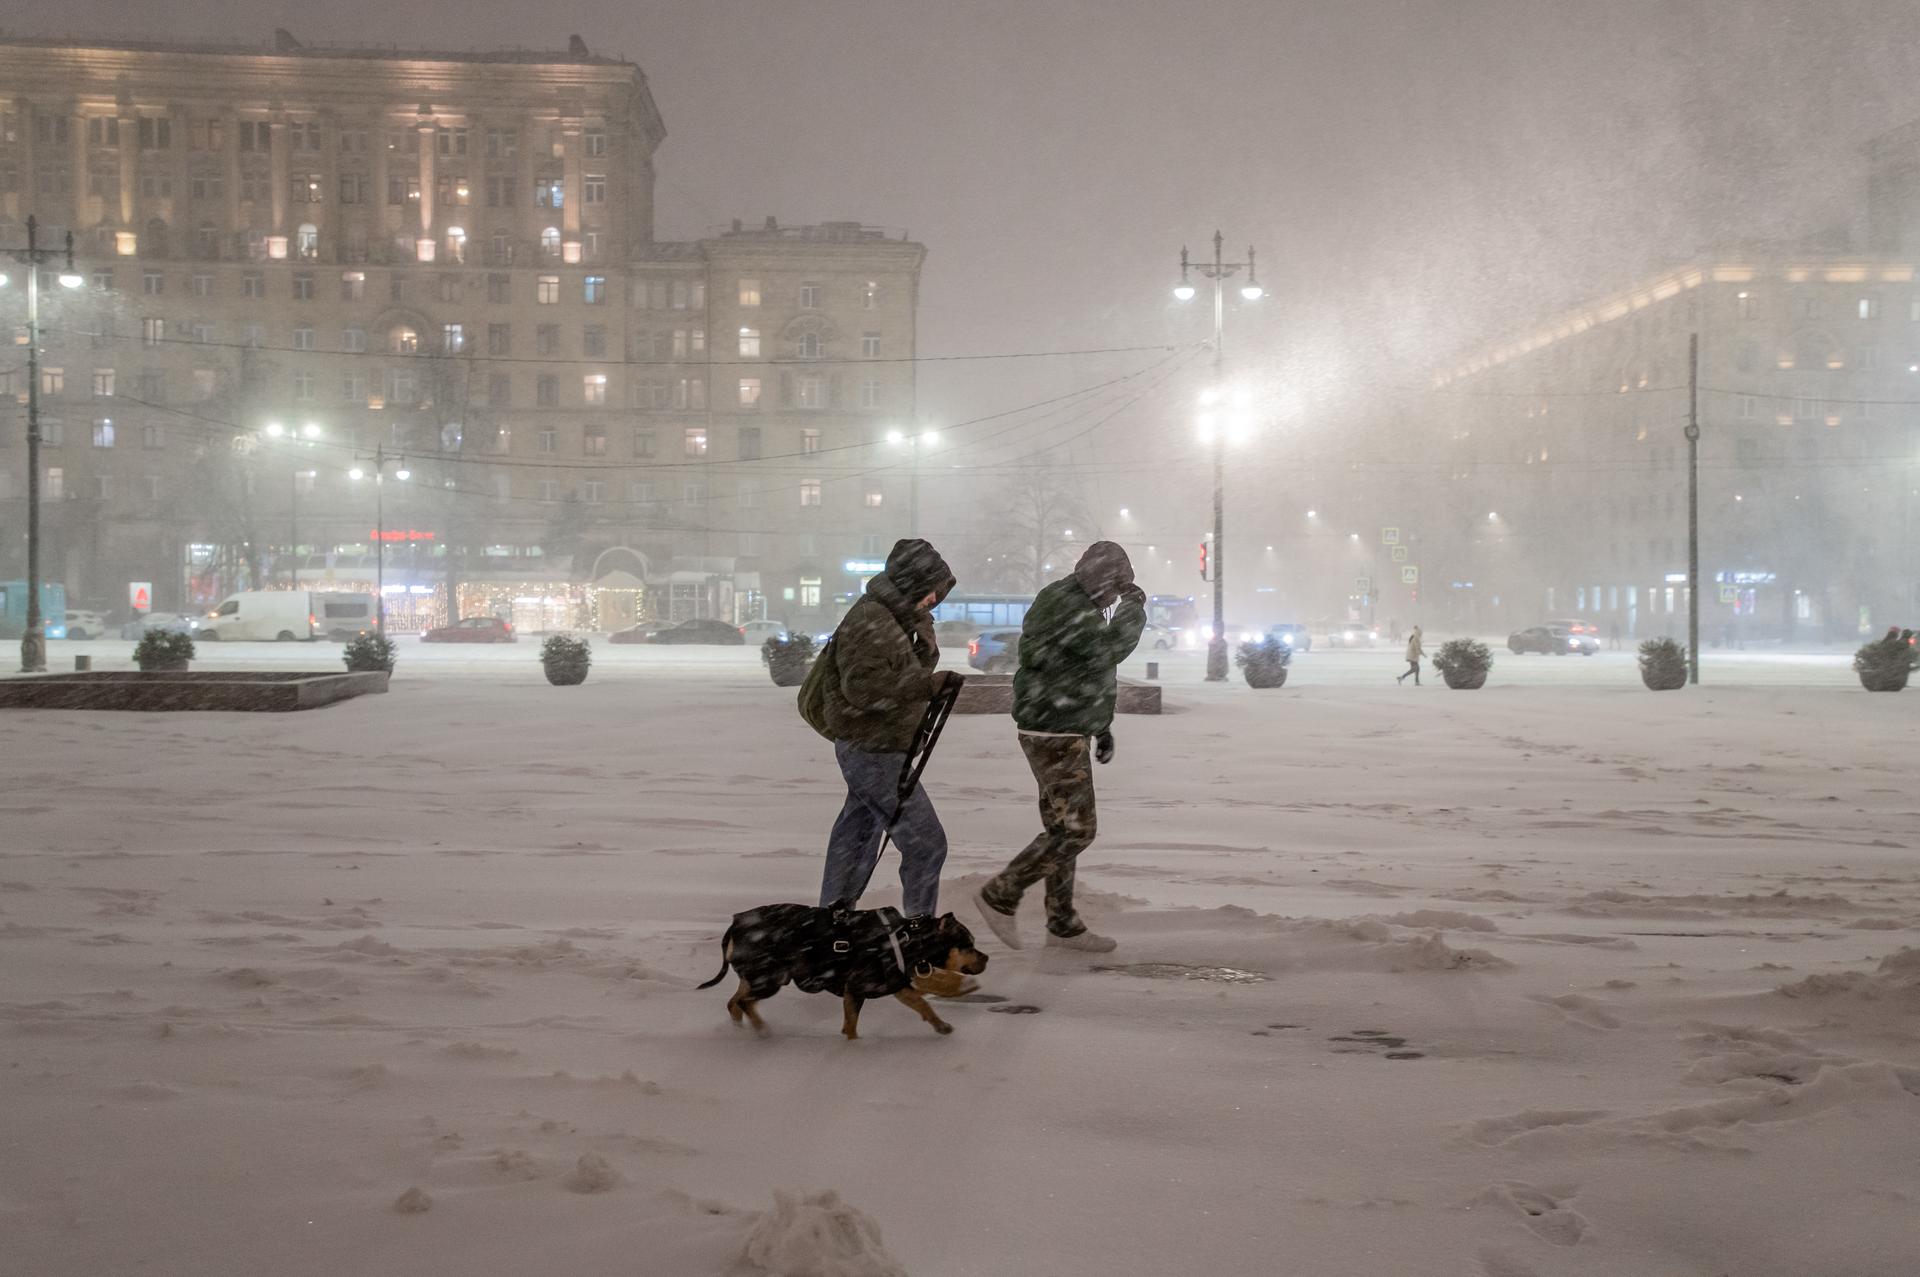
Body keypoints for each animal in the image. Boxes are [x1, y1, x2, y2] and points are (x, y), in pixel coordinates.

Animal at [695, 902, 990, 1044]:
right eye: (968, 945)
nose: (986, 957)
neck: (908, 937)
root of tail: (735, 925)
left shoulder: (893, 984)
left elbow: (921, 1004)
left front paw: (941, 1026)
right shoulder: (858, 988)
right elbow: (852, 1024)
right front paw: (854, 1045)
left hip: (755, 977)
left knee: (734, 1002)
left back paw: (740, 1029)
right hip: (769, 978)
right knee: (745, 1002)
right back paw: (762, 1030)